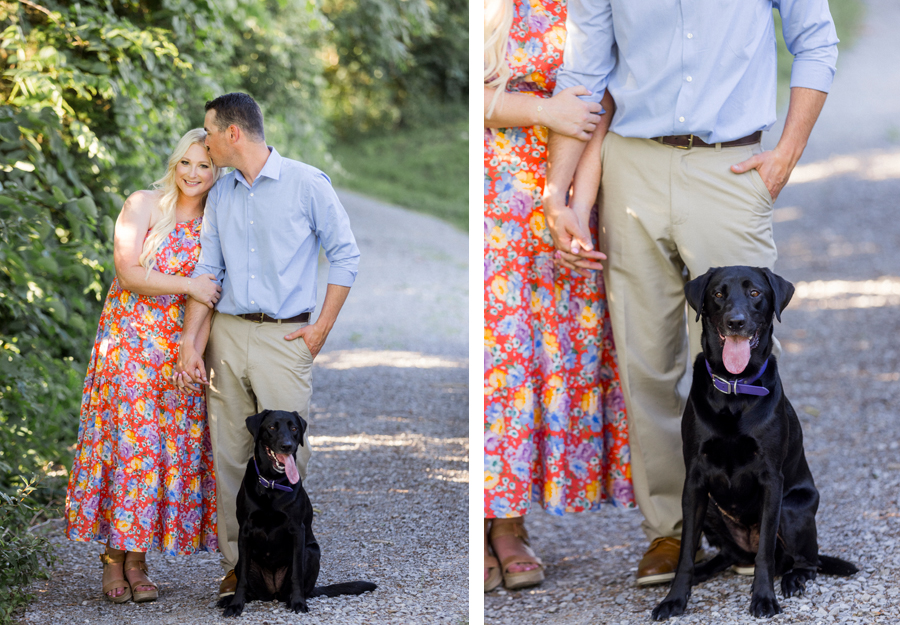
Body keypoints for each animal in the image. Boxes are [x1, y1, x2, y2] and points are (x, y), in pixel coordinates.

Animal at [218, 408, 376, 616]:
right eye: (271, 427)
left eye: (294, 428)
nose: (287, 446)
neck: (272, 484)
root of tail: (273, 593)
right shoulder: (244, 531)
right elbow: (242, 578)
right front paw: (236, 604)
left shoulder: (297, 530)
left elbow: (296, 574)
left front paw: (299, 602)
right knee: (251, 589)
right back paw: (228, 600)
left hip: (312, 552)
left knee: (298, 586)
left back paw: (293, 599)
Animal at [652, 264, 856, 620]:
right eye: (718, 293)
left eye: (755, 293)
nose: (736, 321)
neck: (735, 388)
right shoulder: (694, 481)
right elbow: (686, 552)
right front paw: (674, 599)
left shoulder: (772, 479)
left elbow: (765, 554)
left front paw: (763, 598)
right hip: (711, 510)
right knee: (727, 556)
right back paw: (705, 570)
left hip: (791, 509)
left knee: (804, 562)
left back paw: (793, 580)